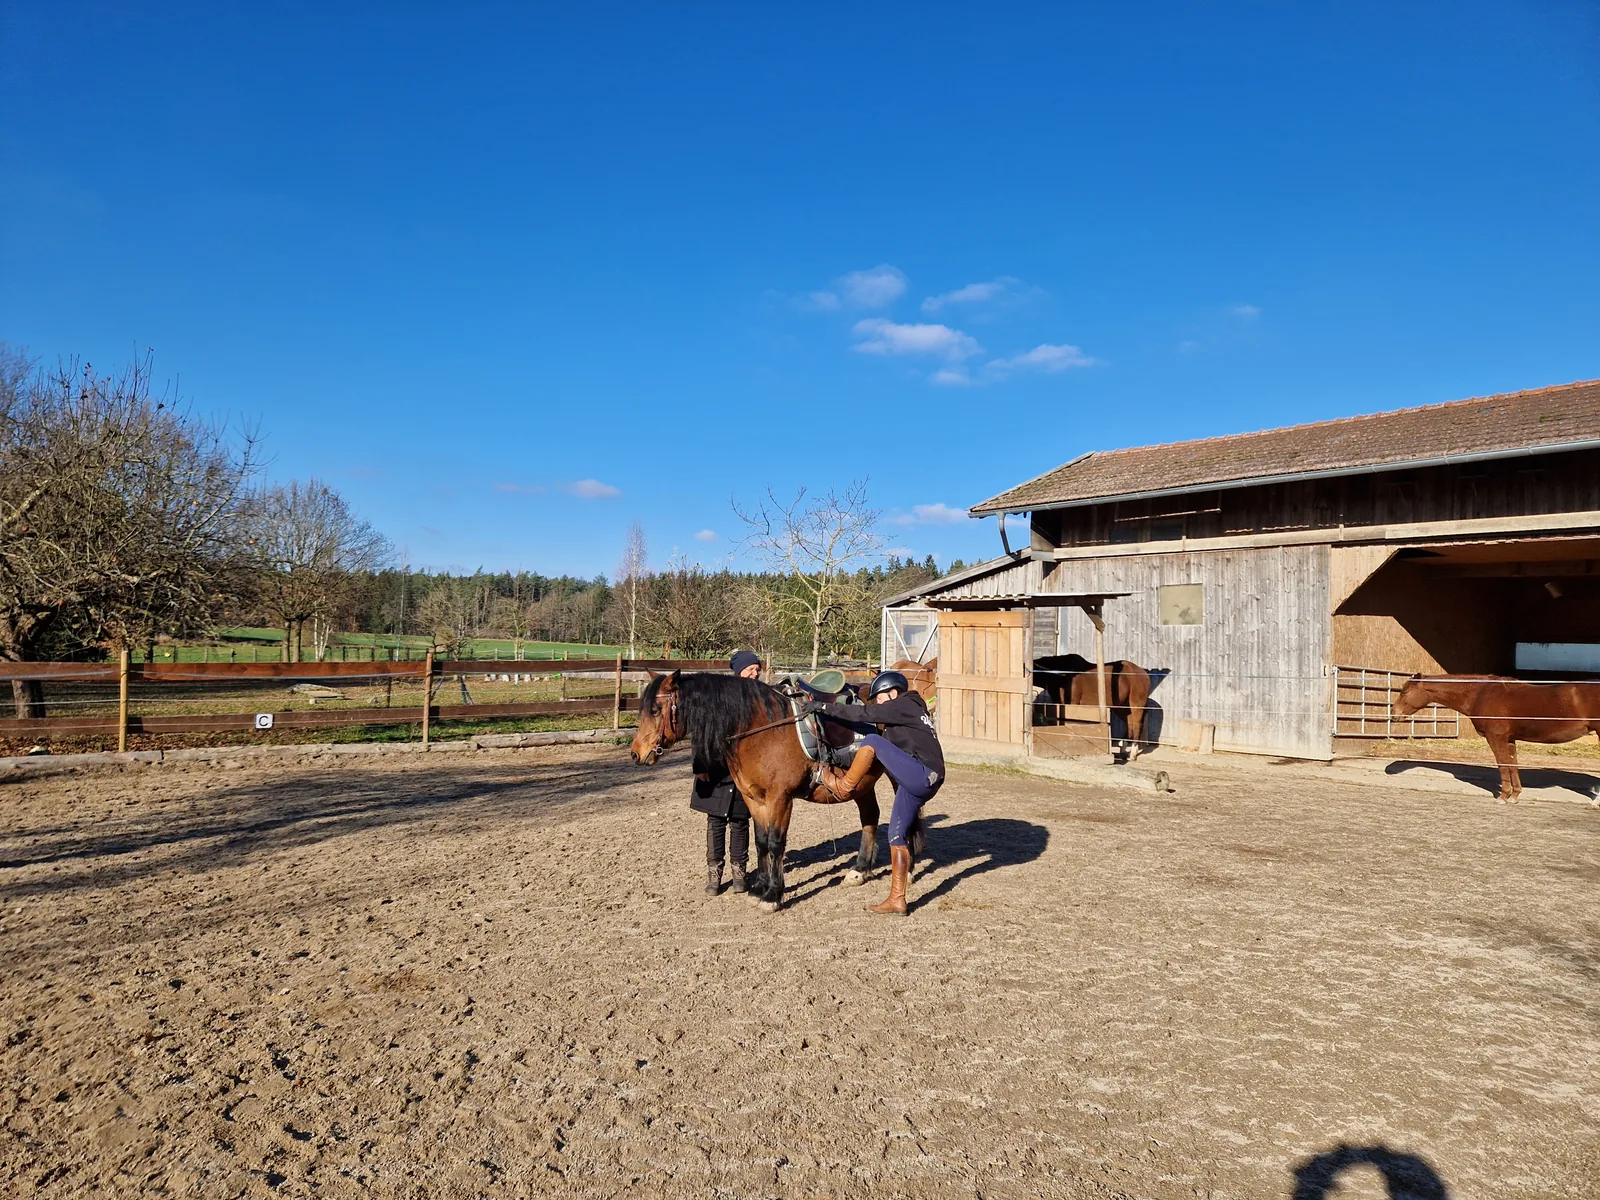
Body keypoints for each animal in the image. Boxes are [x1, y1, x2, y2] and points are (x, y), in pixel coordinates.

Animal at [629, 670, 886, 911]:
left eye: (655, 710)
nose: (636, 754)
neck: (761, 730)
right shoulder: (754, 798)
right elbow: (760, 841)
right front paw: (759, 887)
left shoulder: (780, 799)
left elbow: (775, 843)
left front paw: (773, 895)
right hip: (862, 784)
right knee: (870, 817)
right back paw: (860, 869)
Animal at [1393, 674, 1600, 805]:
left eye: (1404, 692)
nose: (1394, 714)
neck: (1481, 693)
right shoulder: (1509, 739)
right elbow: (1513, 765)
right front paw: (1515, 796)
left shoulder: (1496, 737)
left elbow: (1502, 765)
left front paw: (1503, 796)